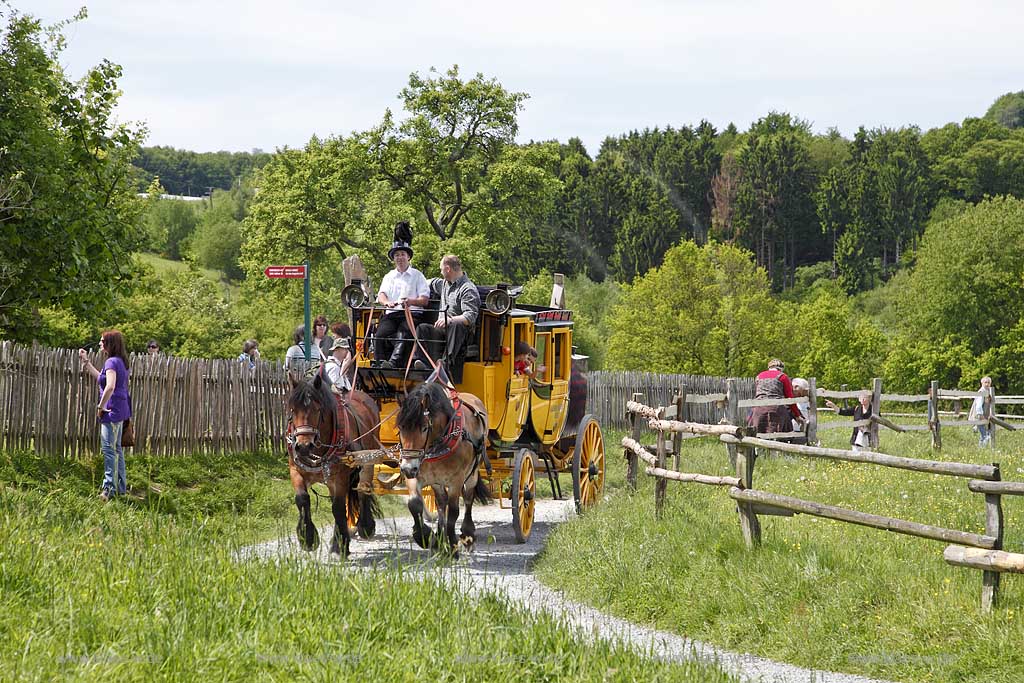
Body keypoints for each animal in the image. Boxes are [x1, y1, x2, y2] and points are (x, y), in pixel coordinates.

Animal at [286, 376, 382, 557]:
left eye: (317, 409)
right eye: (292, 410)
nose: (303, 446)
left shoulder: (341, 477)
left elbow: (337, 508)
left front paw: (341, 545)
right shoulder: (296, 470)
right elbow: (302, 499)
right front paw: (307, 538)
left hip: (368, 461)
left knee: (363, 489)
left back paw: (365, 526)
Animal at [393, 382, 489, 557]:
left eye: (424, 428)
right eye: (401, 427)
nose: (407, 468)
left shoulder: (456, 480)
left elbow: (453, 513)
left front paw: (452, 547)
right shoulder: (416, 474)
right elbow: (415, 504)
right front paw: (424, 536)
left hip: (472, 473)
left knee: (468, 498)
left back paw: (468, 535)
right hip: (436, 481)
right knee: (441, 502)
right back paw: (439, 538)